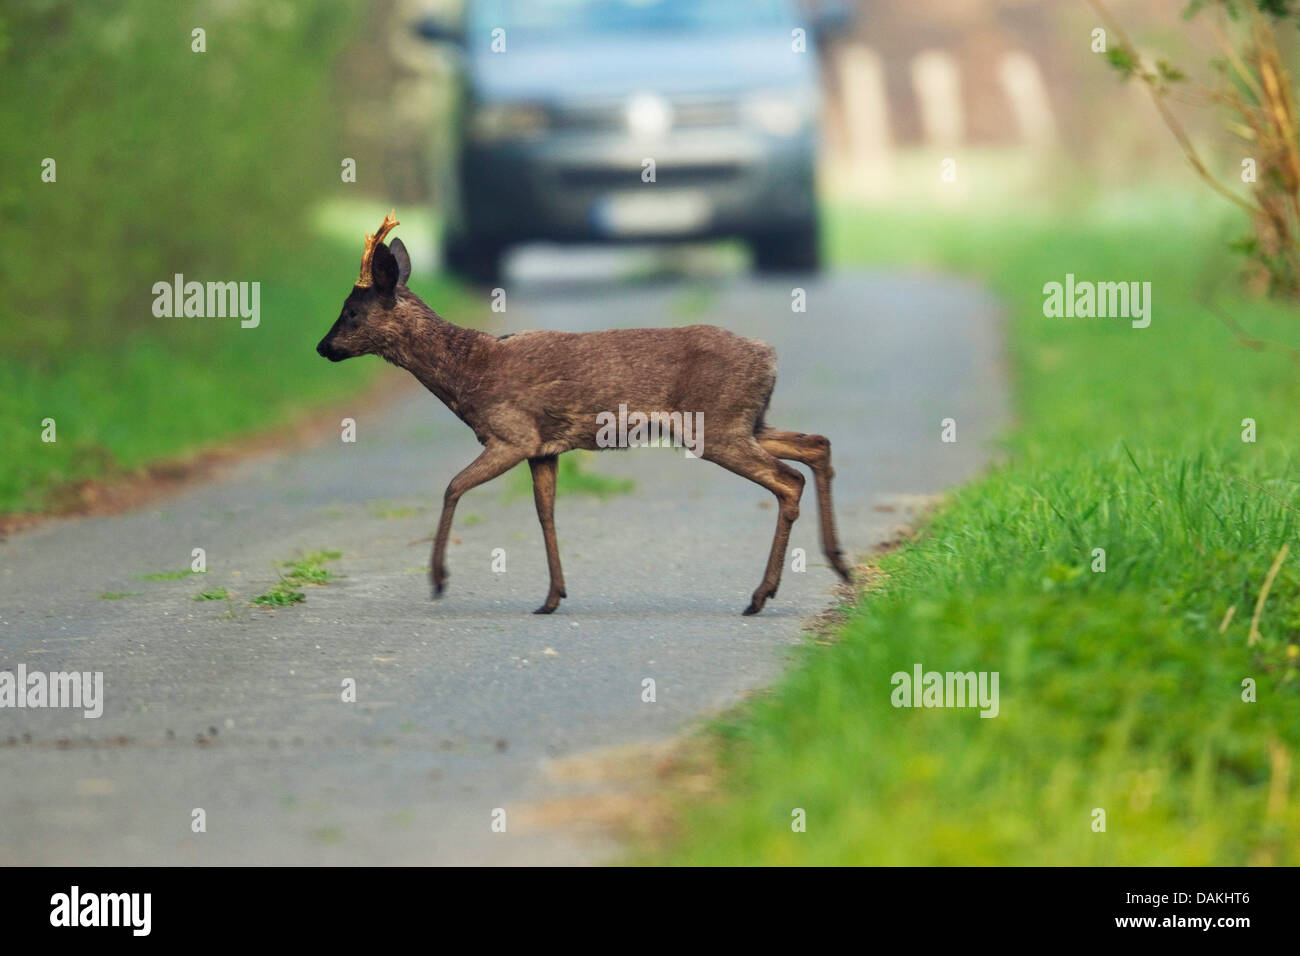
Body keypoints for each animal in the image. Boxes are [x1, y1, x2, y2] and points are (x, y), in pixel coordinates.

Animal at [316, 212, 853, 615]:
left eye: (352, 312)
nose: (322, 347)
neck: (467, 373)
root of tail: (769, 357)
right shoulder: (543, 448)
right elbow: (545, 512)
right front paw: (553, 596)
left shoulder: (512, 434)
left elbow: (453, 487)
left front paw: (438, 578)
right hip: (749, 421)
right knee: (817, 445)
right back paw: (839, 564)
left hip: (718, 425)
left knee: (788, 479)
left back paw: (762, 595)